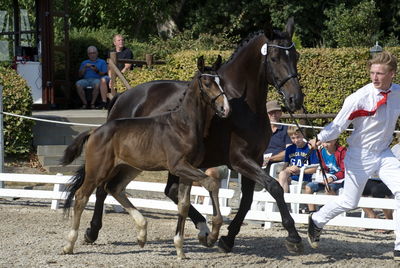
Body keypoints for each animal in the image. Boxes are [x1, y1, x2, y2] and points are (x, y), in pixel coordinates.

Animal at [63, 56, 231, 260]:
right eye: (207, 83)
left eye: (221, 82)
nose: (225, 108)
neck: (184, 125)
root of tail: (95, 131)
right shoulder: (178, 166)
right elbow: (211, 183)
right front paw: (213, 233)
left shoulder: (187, 170)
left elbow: (183, 204)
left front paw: (180, 249)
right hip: (98, 170)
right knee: (82, 195)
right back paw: (70, 243)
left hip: (129, 168)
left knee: (114, 188)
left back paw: (142, 233)